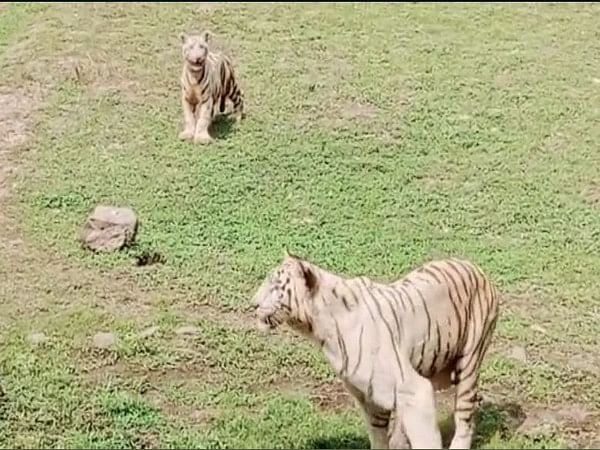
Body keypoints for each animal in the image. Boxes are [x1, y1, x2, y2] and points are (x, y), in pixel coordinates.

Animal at [251, 251, 500, 448]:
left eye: (275, 286)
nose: (252, 304)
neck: (320, 328)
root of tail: (474, 267)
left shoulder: (415, 390)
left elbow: (425, 439)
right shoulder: (369, 397)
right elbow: (379, 438)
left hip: (469, 362)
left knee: (465, 418)